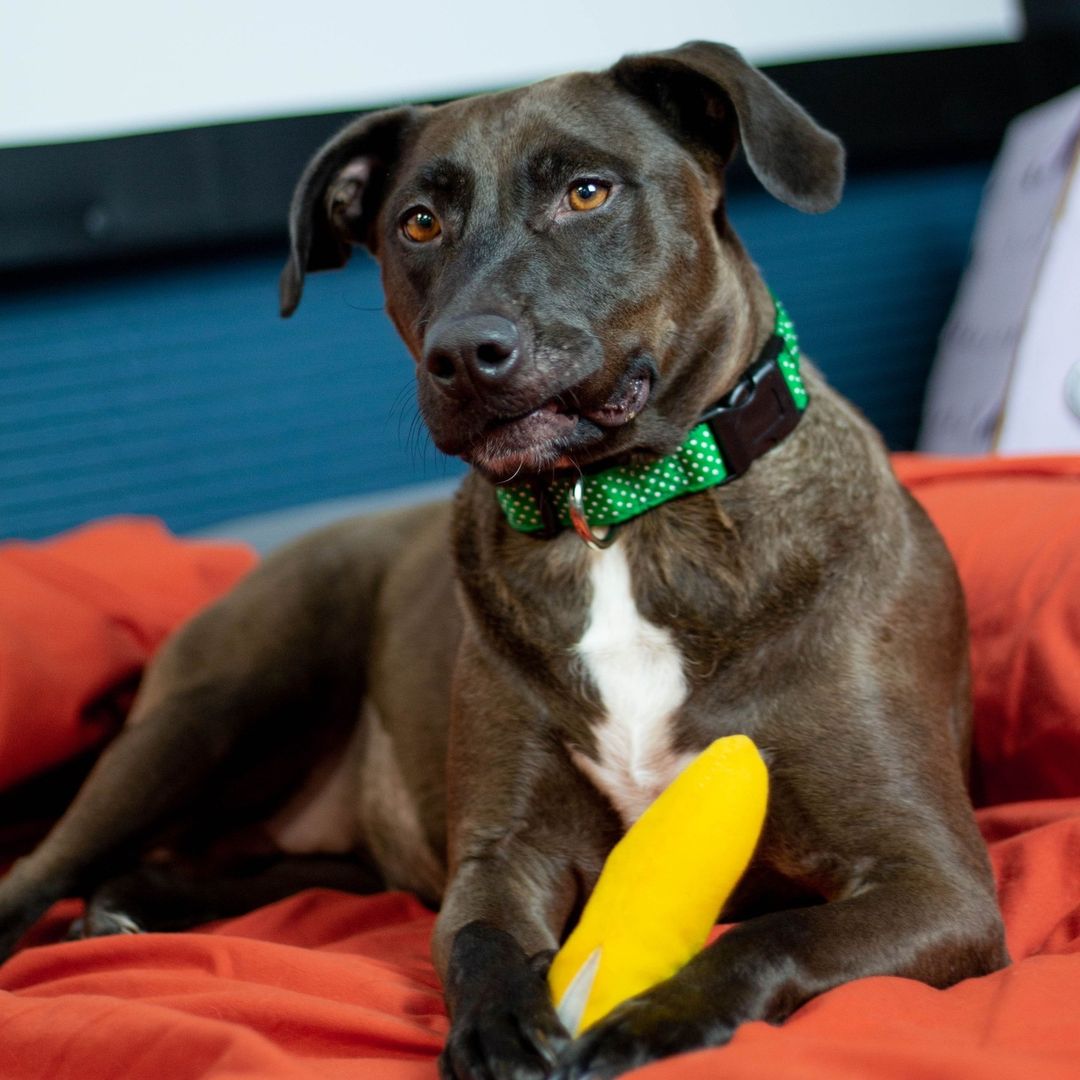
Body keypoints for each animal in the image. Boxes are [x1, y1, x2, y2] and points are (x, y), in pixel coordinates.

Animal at [2, 42, 1010, 1080]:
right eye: (419, 221)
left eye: (587, 192)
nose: (464, 354)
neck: (617, 516)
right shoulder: (502, 854)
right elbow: (479, 939)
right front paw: (500, 1024)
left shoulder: (935, 881)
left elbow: (777, 936)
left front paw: (656, 1014)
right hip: (215, 710)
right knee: (40, 870)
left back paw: (140, 900)